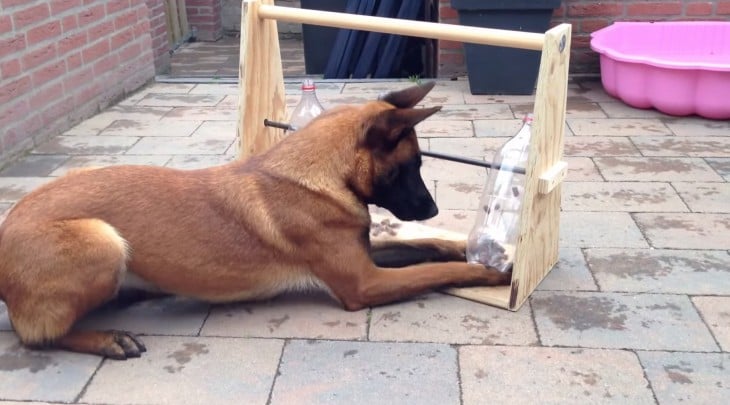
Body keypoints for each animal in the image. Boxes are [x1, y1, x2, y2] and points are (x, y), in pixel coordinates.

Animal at [0, 81, 510, 356]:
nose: (433, 210)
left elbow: (425, 248)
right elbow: (435, 271)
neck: (324, 173)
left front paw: (471, 247)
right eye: (410, 166)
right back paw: (105, 339)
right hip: (102, 240)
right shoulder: (364, 283)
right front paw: (487, 272)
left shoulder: (366, 256)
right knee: (35, 336)